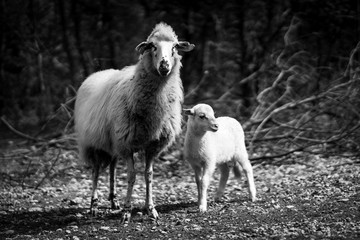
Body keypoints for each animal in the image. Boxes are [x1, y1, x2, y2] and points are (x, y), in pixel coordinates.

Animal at [74, 22, 195, 221]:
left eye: (174, 47)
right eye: (153, 46)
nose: (164, 66)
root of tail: (99, 72)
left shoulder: (152, 145)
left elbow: (148, 175)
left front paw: (150, 209)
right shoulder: (126, 143)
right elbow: (131, 176)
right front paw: (126, 211)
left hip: (112, 141)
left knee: (113, 167)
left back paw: (113, 200)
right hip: (92, 143)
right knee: (96, 170)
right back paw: (94, 205)